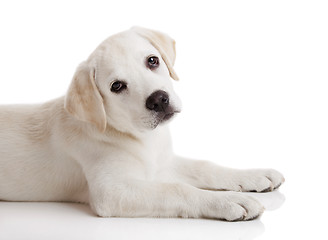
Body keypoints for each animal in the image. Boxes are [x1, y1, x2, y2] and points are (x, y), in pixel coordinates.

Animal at [0, 26, 284, 221]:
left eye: (152, 60)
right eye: (116, 86)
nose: (159, 99)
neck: (142, 137)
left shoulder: (162, 163)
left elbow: (205, 166)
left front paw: (253, 175)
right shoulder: (112, 191)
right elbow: (178, 189)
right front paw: (231, 201)